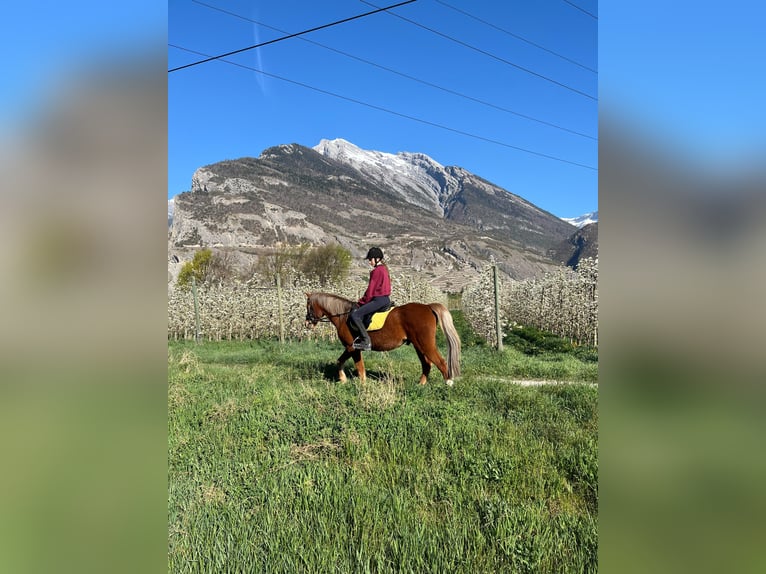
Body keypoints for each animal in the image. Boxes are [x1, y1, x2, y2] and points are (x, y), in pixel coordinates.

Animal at [305, 292, 461, 386]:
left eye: (308, 306)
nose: (307, 323)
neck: (343, 316)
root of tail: (428, 307)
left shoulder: (352, 347)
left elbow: (357, 366)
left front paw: (359, 383)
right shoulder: (351, 348)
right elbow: (343, 362)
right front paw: (346, 380)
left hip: (425, 344)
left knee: (440, 362)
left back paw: (448, 384)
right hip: (418, 345)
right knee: (427, 364)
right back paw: (420, 384)